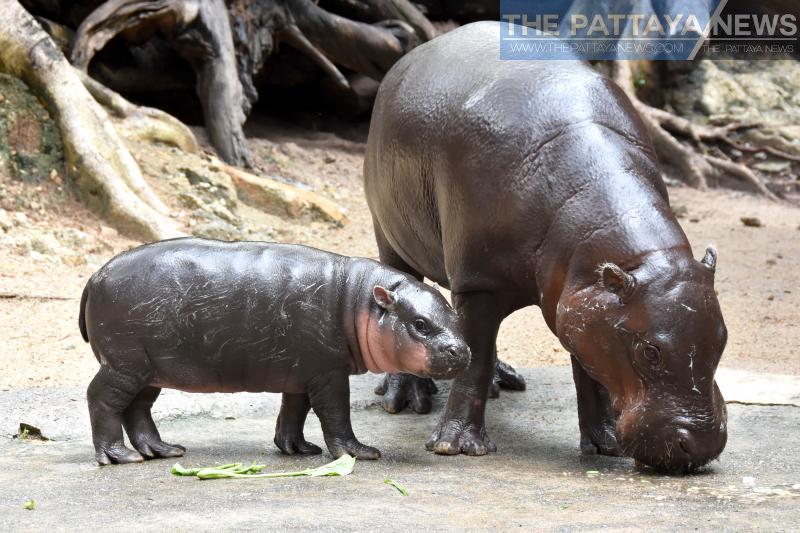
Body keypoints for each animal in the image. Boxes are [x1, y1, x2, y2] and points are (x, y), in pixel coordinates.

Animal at [76, 239, 468, 464]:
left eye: (455, 314)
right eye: (419, 324)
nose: (462, 351)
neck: (359, 301)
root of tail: (94, 277)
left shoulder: (303, 372)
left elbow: (293, 411)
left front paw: (298, 450)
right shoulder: (328, 372)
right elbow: (335, 414)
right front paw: (360, 453)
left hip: (150, 369)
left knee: (137, 409)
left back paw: (163, 451)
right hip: (125, 364)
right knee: (102, 399)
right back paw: (118, 457)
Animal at [366, 20, 728, 472]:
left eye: (723, 338)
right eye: (650, 352)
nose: (702, 446)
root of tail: (413, 54)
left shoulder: (584, 297)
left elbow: (589, 368)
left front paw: (605, 444)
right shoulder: (481, 281)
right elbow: (475, 356)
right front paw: (458, 447)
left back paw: (503, 382)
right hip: (392, 236)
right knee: (405, 293)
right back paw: (407, 399)